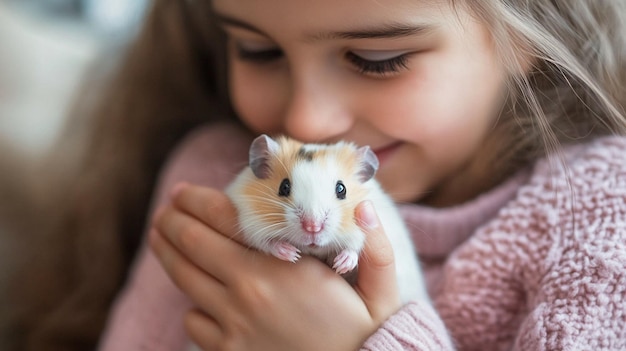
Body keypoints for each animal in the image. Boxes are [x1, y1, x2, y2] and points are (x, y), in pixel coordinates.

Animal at [225, 135, 428, 302]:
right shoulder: (250, 223)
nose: (312, 227)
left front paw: (341, 265)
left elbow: (355, 247)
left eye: (341, 189)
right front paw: (292, 254)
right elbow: (267, 243)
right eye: (284, 187)